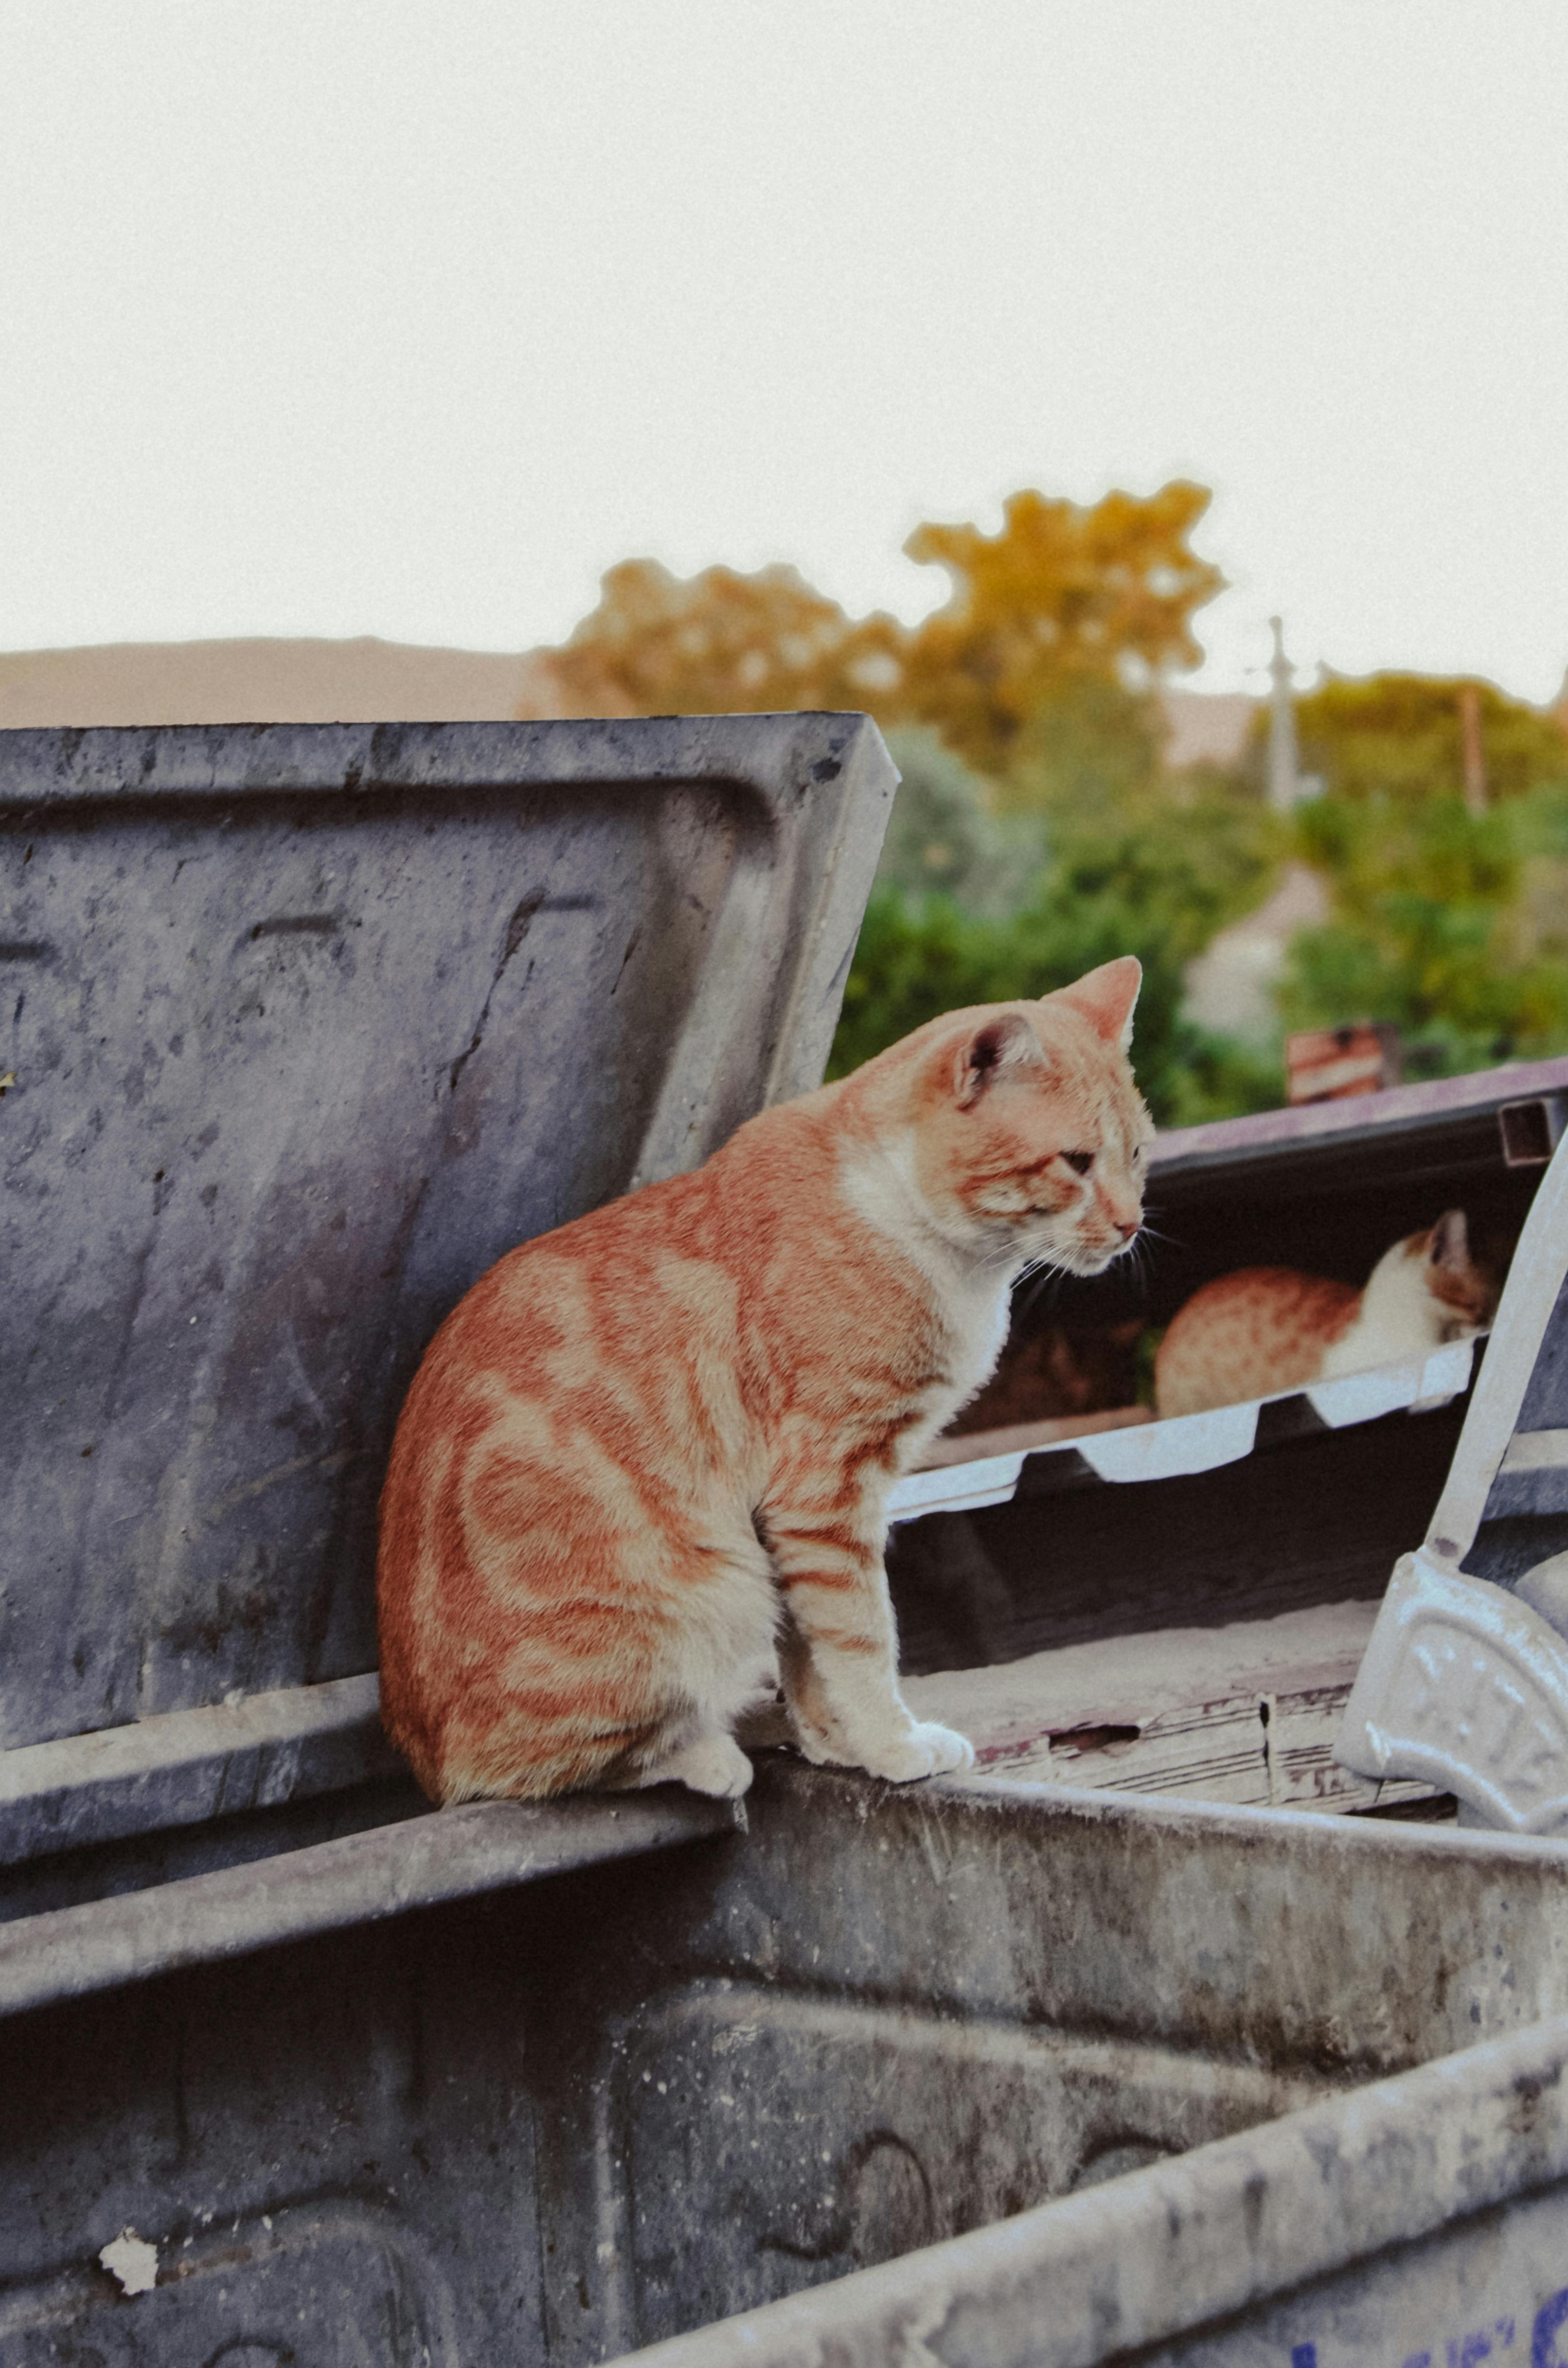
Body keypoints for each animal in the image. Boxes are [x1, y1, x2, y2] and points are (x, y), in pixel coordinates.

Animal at [379, 951, 1156, 1799]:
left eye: (1139, 1155)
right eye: (1076, 1163)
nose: (1130, 1225)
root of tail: (422, 1762)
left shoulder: (791, 1523)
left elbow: (810, 1657)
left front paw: (837, 1746)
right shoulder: (826, 1492)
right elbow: (862, 1641)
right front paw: (892, 1745)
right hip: (715, 1596)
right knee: (530, 1772)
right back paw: (704, 1755)